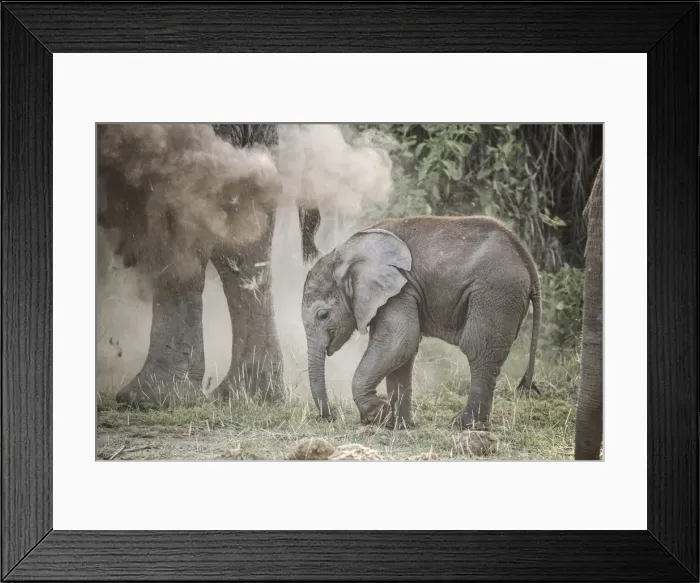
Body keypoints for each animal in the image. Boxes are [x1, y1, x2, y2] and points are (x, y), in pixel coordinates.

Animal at [300, 214, 541, 430]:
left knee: (479, 350)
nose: (330, 416)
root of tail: (527, 260)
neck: (345, 252)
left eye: (323, 315)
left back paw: (463, 425)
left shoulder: (401, 290)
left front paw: (379, 415)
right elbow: (402, 352)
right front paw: (398, 425)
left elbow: (398, 343)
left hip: (496, 293)